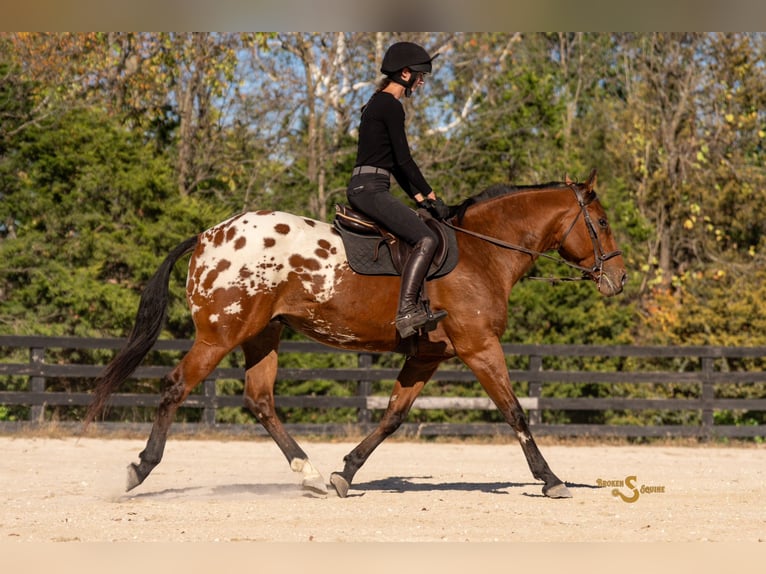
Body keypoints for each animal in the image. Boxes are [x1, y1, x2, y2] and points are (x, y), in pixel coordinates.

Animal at [85, 168, 626, 499]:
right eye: (600, 222)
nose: (618, 279)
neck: (481, 252)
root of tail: (206, 237)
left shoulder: (427, 356)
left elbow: (391, 417)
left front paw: (345, 472)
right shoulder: (480, 348)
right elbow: (515, 411)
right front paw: (551, 479)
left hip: (264, 335)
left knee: (260, 401)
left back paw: (308, 473)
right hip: (219, 337)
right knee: (176, 387)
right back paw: (139, 469)